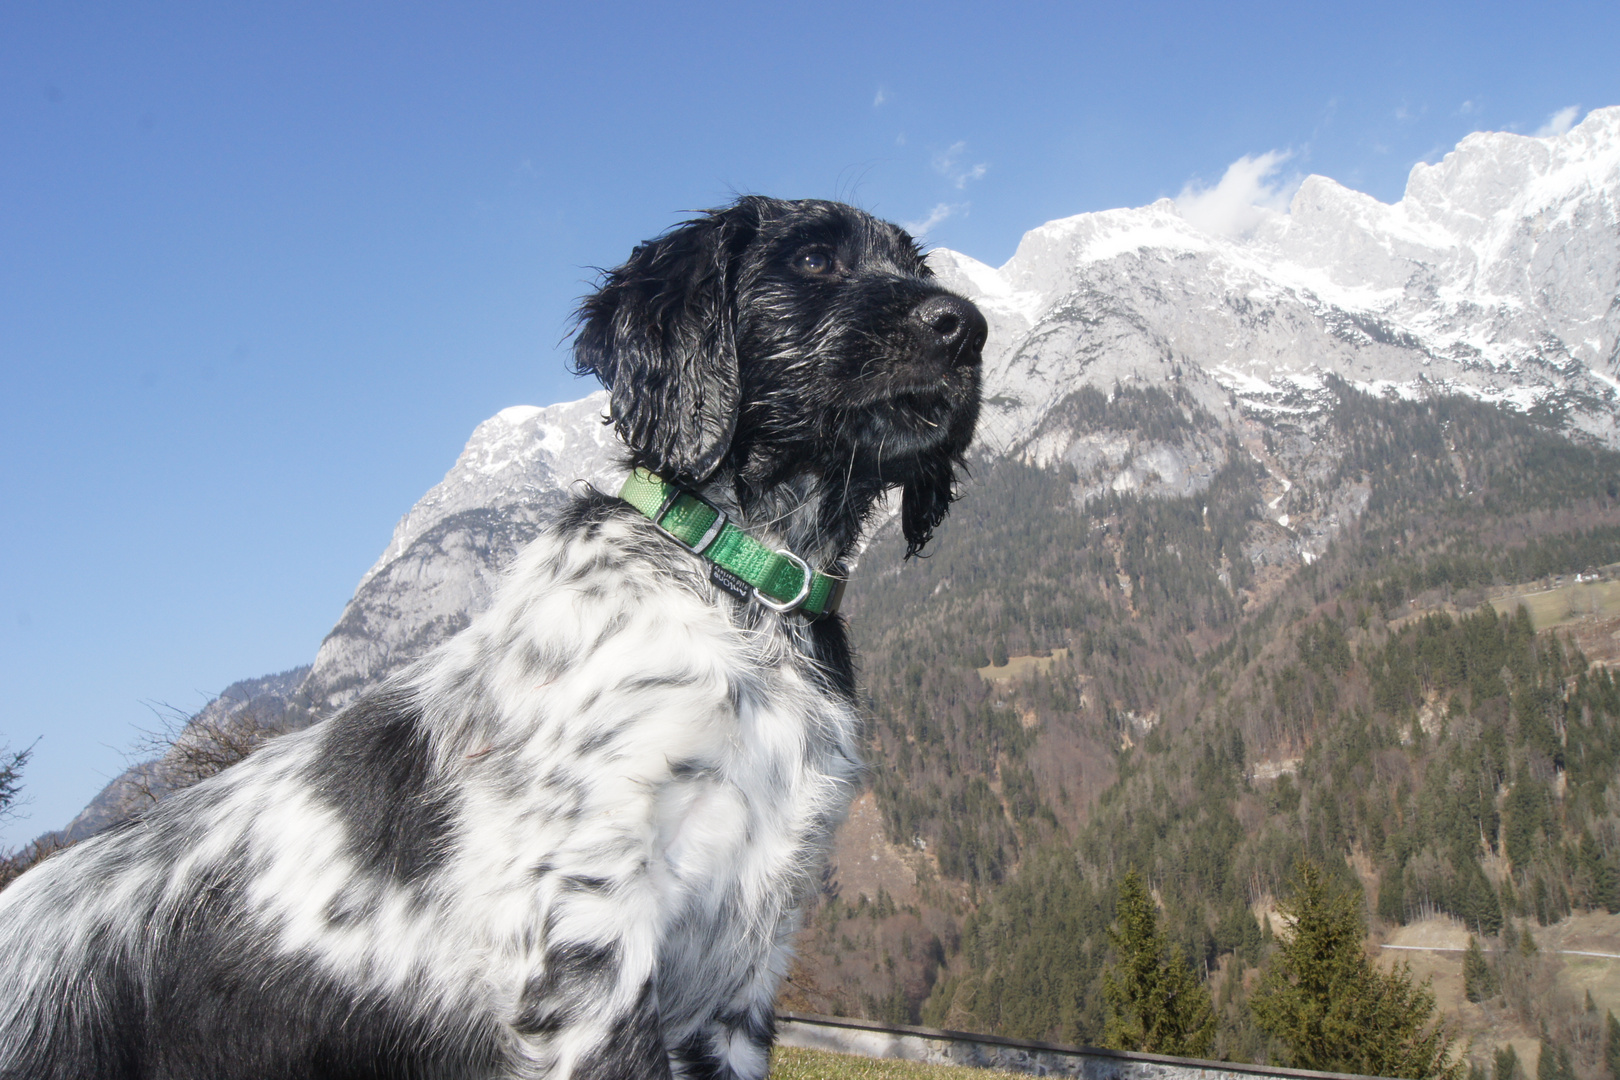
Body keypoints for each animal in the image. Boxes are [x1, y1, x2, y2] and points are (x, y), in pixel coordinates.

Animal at [0, 196, 984, 1080]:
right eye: (815, 259)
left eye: (919, 268)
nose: (967, 327)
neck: (745, 588)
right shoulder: (588, 952)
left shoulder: (744, 964)